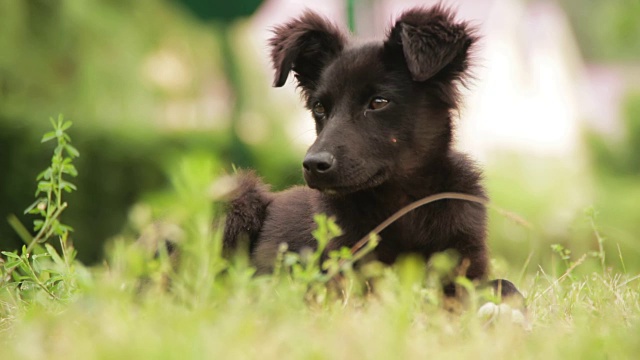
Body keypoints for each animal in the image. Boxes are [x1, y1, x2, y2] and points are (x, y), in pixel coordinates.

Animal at [222, 5, 524, 300]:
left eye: (379, 102)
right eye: (319, 107)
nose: (313, 165)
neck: (402, 204)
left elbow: (506, 287)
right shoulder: (352, 279)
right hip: (237, 194)